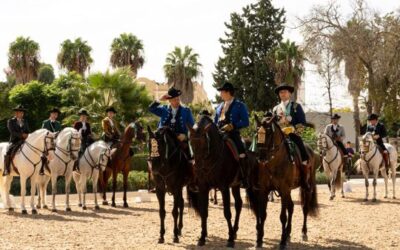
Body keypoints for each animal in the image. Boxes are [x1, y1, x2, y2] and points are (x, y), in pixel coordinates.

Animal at [247, 116, 318, 249]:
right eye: (256, 132)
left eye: (269, 133)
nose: (261, 157)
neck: (275, 161)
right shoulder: (264, 191)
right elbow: (263, 214)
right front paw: (259, 240)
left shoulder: (284, 190)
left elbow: (282, 216)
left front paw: (282, 242)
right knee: (291, 207)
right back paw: (288, 233)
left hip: (306, 188)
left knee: (304, 208)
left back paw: (303, 233)